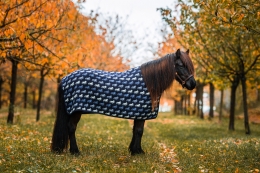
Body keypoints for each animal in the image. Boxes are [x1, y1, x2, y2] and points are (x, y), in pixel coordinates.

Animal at [51, 49, 196, 155]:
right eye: (181, 65)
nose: (193, 84)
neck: (149, 82)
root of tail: (65, 78)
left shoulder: (138, 114)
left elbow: (136, 130)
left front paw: (134, 150)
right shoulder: (141, 113)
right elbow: (139, 131)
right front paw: (138, 152)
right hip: (76, 111)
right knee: (71, 127)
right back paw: (75, 151)